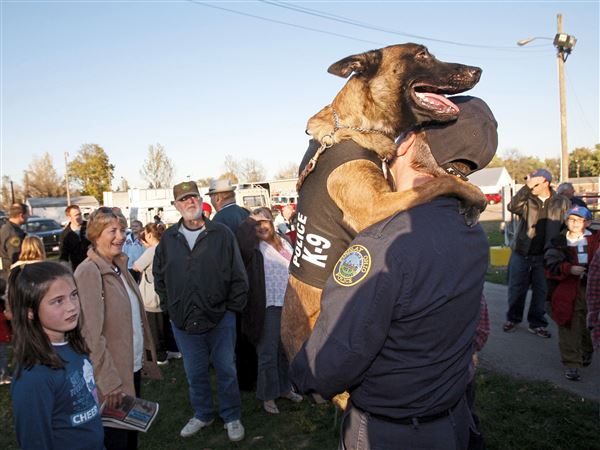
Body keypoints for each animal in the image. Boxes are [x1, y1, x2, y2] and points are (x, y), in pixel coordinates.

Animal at [282, 44, 488, 384]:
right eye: (421, 55)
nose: (478, 70)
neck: (352, 126)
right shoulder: (376, 206)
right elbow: (442, 181)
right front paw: (474, 194)